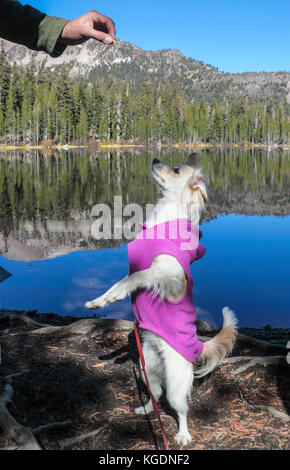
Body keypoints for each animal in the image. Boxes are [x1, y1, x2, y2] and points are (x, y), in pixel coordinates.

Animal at [84, 154, 238, 448]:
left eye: (176, 170)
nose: (155, 159)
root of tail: (196, 348)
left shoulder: (169, 277)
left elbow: (133, 277)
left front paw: (114, 295)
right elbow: (127, 278)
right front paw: (99, 300)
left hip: (176, 387)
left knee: (181, 409)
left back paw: (182, 435)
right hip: (147, 371)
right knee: (154, 395)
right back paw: (144, 409)